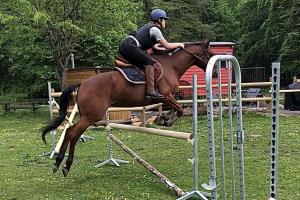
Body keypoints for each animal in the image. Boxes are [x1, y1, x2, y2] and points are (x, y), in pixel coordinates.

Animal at [41, 41, 211, 177]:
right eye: (208, 54)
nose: (214, 72)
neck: (171, 66)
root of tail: (83, 83)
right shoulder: (166, 96)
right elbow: (180, 109)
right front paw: (167, 120)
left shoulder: (167, 98)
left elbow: (176, 108)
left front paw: (163, 118)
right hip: (91, 117)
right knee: (72, 134)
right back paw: (64, 165)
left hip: (87, 116)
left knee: (69, 132)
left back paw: (58, 162)